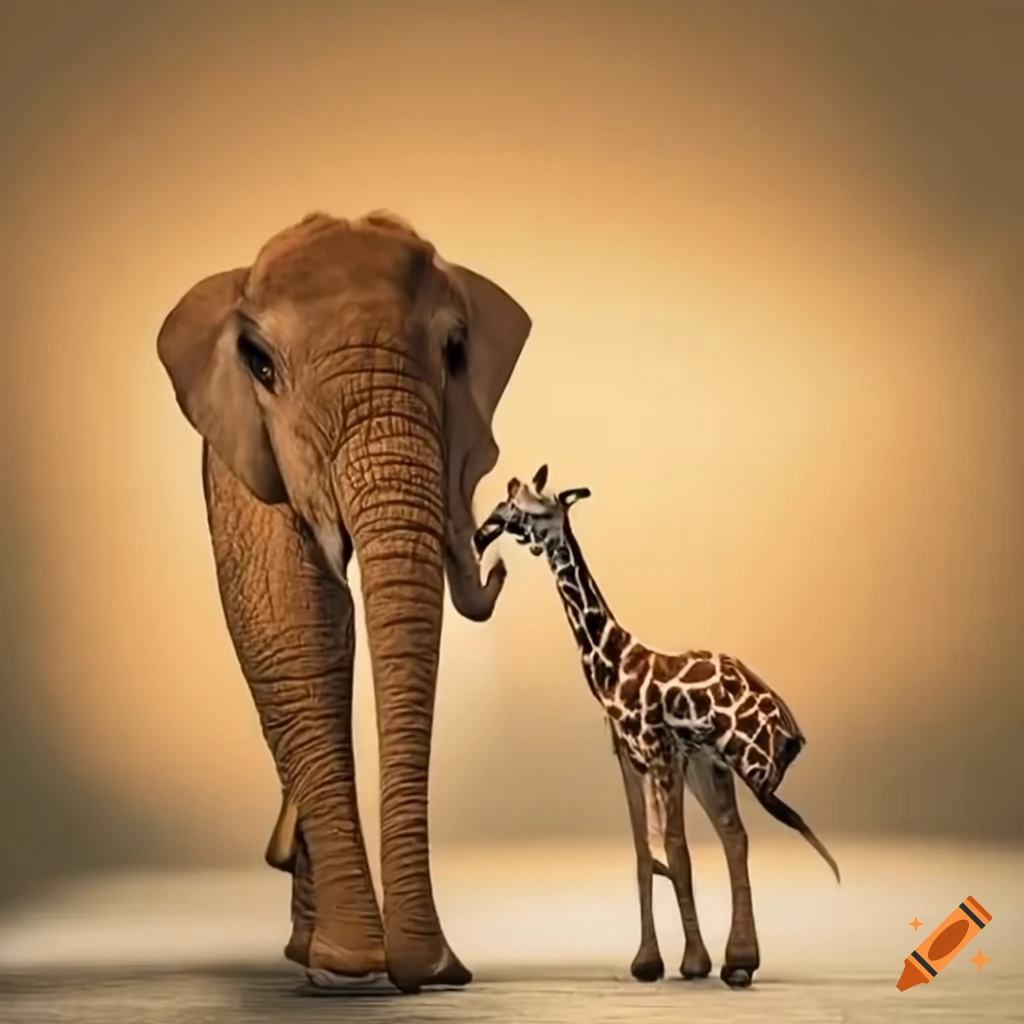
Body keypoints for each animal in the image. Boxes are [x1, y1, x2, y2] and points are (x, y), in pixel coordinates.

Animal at [156, 211, 532, 993]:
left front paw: (383, 968)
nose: (437, 974)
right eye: (261, 365)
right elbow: (295, 629)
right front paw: (352, 971)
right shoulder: (244, 452)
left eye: (455, 352)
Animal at [473, 465, 840, 988]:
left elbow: (675, 848)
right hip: (711, 765)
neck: (611, 660)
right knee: (735, 835)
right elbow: (644, 853)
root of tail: (792, 729)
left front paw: (692, 963)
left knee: (736, 835)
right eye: (509, 503)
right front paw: (647, 962)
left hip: (731, 766)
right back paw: (740, 962)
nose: (484, 533)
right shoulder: (630, 757)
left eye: (537, 507)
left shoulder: (661, 752)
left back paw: (736, 963)